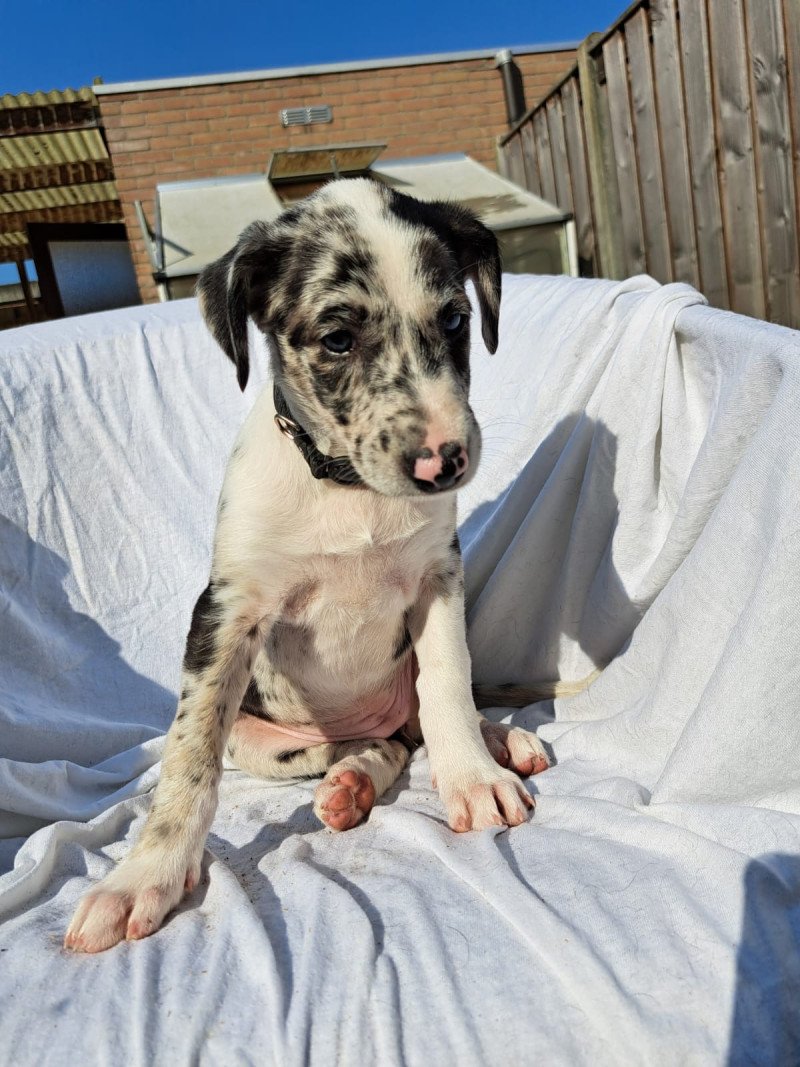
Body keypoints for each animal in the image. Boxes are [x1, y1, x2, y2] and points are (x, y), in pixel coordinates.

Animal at [65, 179, 554, 956]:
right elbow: (189, 760)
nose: (443, 461)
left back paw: (500, 742)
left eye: (454, 320)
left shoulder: (438, 580)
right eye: (337, 339)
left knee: (425, 718)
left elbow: (449, 684)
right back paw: (352, 780)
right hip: (270, 744)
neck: (348, 488)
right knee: (373, 744)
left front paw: (474, 779)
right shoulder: (226, 611)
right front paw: (145, 873)